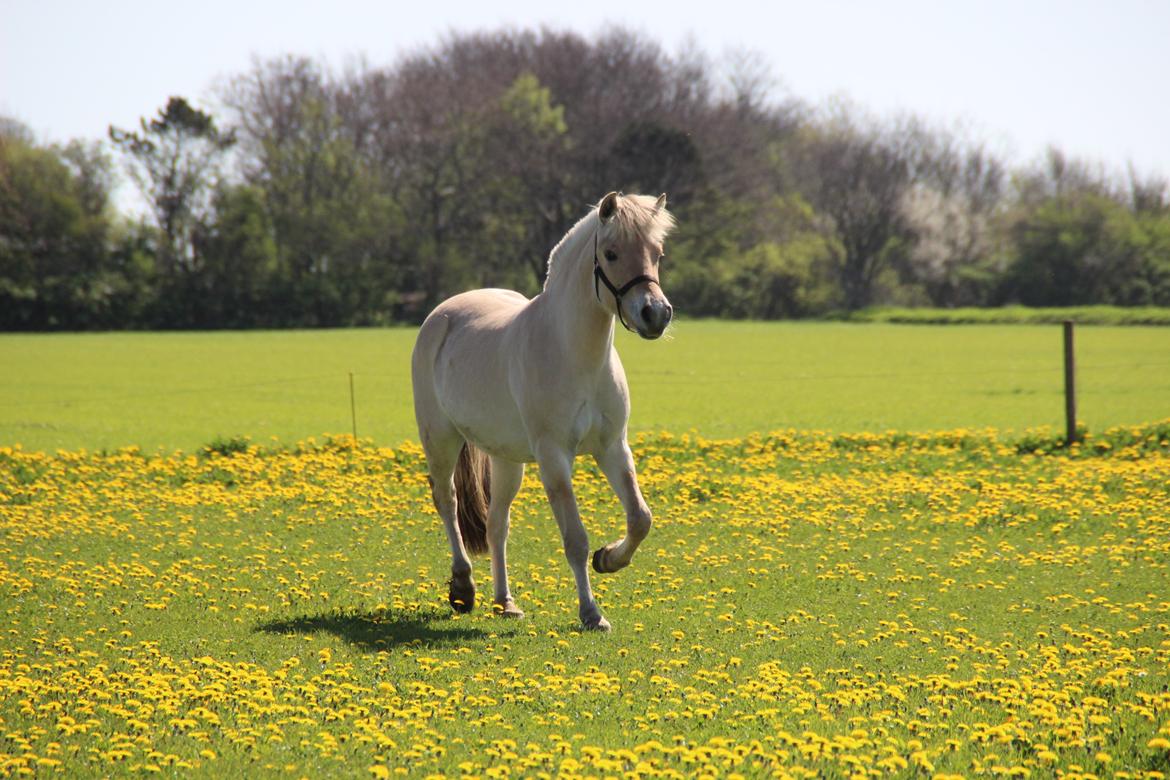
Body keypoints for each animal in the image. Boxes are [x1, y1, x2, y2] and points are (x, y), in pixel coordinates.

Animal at [411, 191, 673, 631]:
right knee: (447, 501)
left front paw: (609, 558)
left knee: (497, 525)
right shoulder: (554, 457)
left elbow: (640, 518)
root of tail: (441, 315)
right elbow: (575, 539)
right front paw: (591, 613)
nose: (656, 314)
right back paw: (463, 586)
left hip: (506, 459)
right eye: (612, 253)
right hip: (441, 440)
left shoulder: (613, 447)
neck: (575, 355)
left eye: (657, 253)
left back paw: (505, 602)